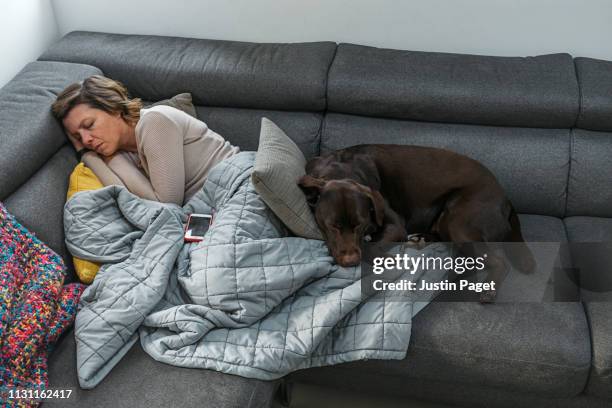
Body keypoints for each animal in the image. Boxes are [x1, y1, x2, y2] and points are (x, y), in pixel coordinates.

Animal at [298, 145, 532, 302]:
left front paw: (386, 258)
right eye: (332, 226)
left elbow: (371, 245)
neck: (341, 170)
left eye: (360, 224)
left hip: (459, 221)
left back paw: (488, 289)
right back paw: (422, 240)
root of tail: (505, 198)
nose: (351, 261)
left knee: (494, 261)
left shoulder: (395, 225)